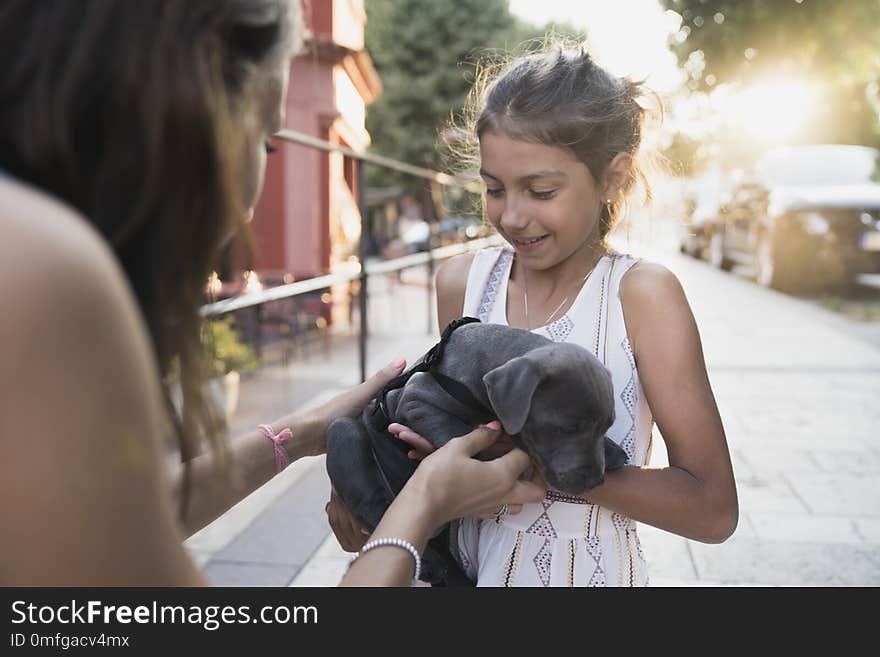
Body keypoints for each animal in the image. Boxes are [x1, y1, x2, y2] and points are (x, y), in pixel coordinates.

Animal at [324, 320, 624, 580]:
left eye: (607, 425)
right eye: (566, 428)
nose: (595, 480)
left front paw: (612, 451)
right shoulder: (415, 399)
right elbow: (457, 432)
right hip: (344, 432)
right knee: (373, 504)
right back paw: (427, 561)